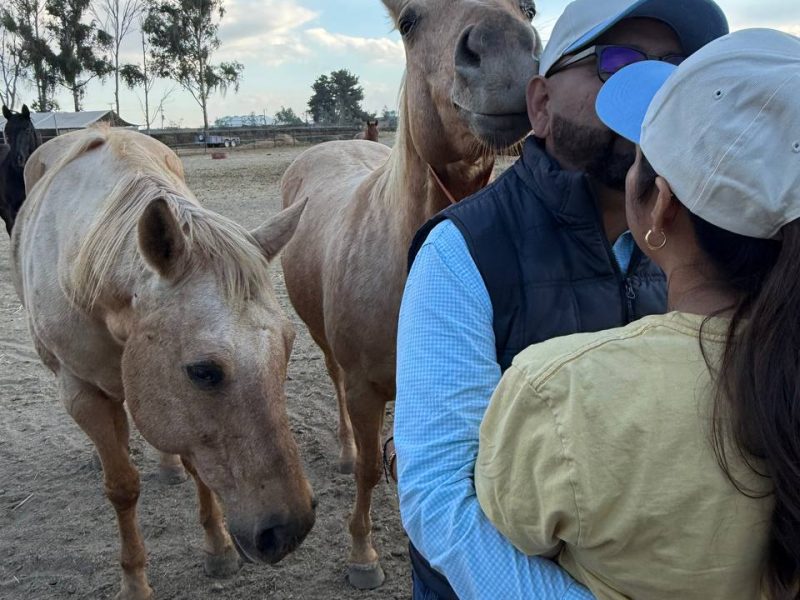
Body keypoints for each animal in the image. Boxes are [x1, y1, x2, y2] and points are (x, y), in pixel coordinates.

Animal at [13, 127, 316, 600]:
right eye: (204, 371)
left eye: (287, 346)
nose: (290, 530)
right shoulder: (82, 390)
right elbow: (122, 486)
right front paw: (134, 580)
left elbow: (197, 464)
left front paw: (217, 547)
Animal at [279, 0, 541, 589]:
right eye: (409, 21)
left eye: (530, 8)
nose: (505, 50)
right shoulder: (364, 387)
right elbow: (370, 469)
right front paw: (363, 553)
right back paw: (344, 449)